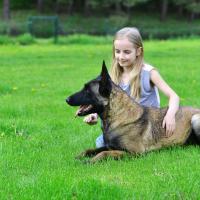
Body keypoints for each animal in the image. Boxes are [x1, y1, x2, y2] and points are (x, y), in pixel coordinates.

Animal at [66, 61, 200, 163]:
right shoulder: (110, 146)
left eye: (87, 90)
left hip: (195, 119)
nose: (66, 99)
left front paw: (89, 161)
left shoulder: (134, 153)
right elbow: (89, 150)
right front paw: (79, 156)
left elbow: (104, 154)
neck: (116, 116)